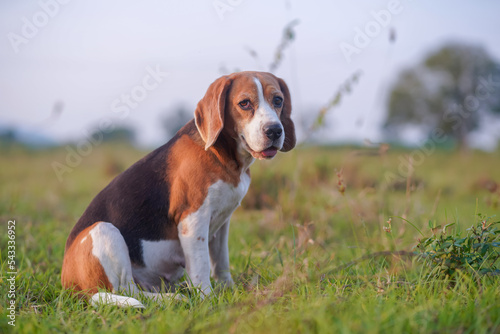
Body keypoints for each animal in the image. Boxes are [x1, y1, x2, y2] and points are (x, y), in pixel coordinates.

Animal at [62, 71, 296, 308]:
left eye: (278, 100)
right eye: (244, 103)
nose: (274, 131)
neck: (222, 155)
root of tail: (68, 283)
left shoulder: (223, 221)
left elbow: (221, 262)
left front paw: (228, 289)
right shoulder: (193, 220)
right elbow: (201, 267)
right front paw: (208, 300)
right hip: (104, 231)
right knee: (128, 291)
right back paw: (171, 298)